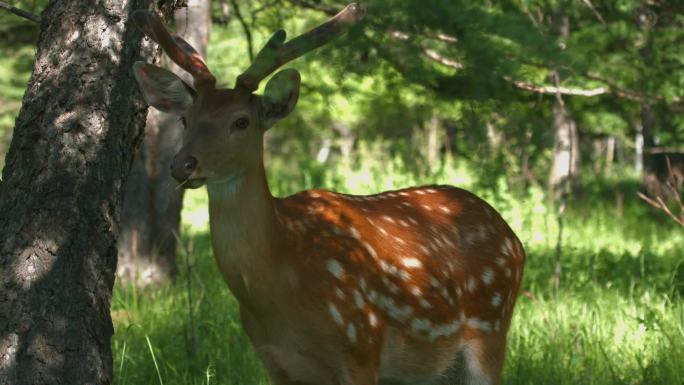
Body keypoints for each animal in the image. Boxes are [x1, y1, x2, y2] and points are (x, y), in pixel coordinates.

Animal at [132, 3, 524, 384]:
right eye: (186, 119)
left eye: (241, 121)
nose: (182, 164)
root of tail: (513, 239)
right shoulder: (274, 362)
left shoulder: (361, 347)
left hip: (492, 327)